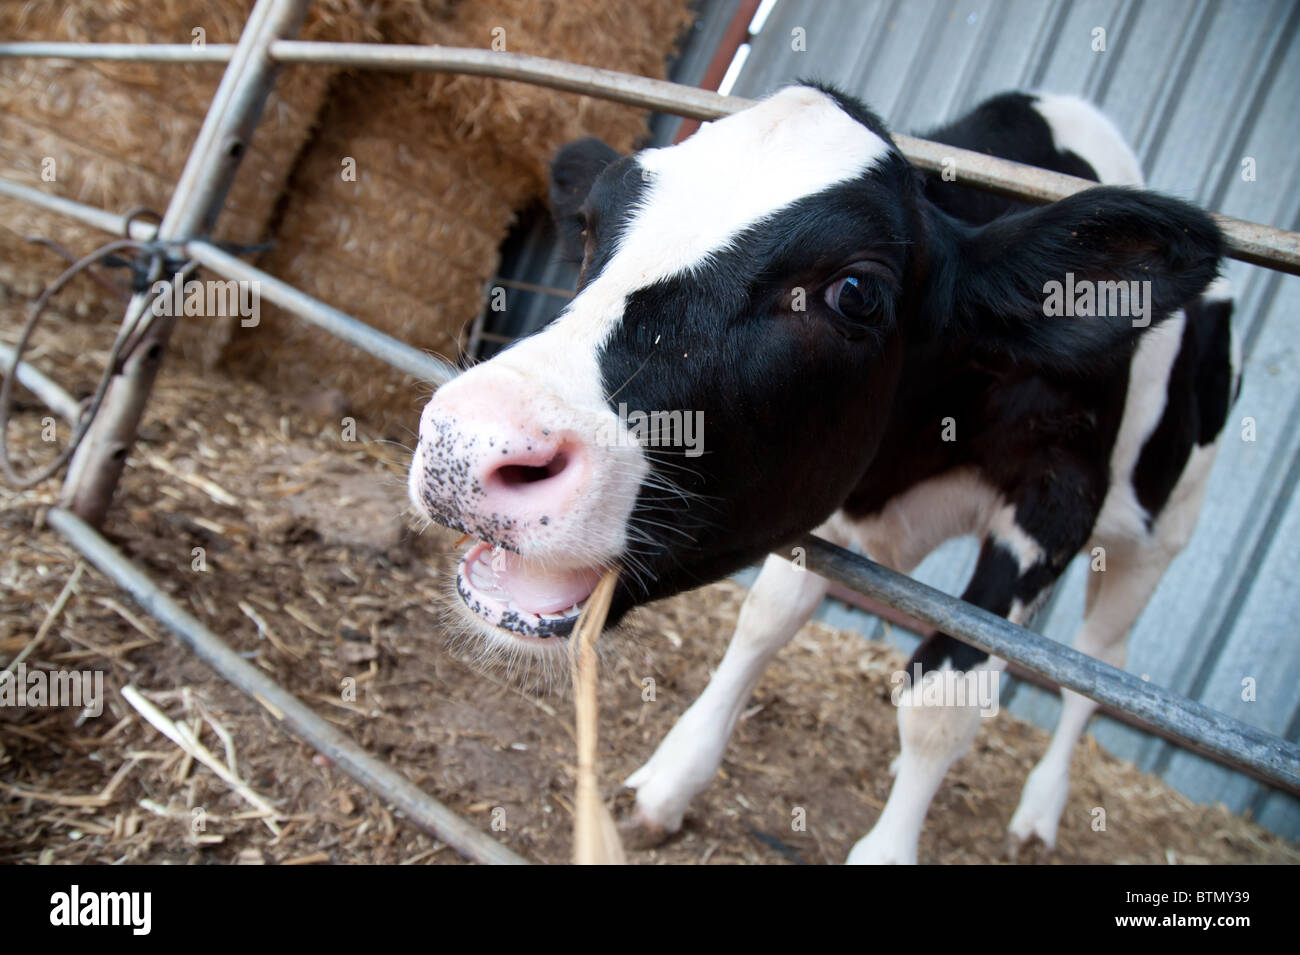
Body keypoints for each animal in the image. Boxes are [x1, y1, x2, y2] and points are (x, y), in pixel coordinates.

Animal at [407, 83, 1237, 863]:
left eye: (856, 292)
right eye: (587, 226)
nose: (470, 437)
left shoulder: (1055, 499)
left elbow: (944, 695)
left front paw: (888, 847)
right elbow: (766, 618)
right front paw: (672, 780)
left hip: (1160, 536)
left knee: (1098, 665)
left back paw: (1039, 811)